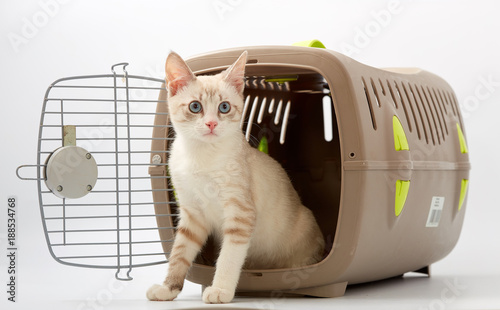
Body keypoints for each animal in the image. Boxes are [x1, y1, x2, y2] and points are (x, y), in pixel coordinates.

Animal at [146, 50, 324, 302]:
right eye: (195, 106)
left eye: (224, 107)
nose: (211, 123)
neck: (201, 155)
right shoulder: (192, 214)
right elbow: (179, 254)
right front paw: (168, 288)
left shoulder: (240, 213)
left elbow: (228, 257)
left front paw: (220, 290)